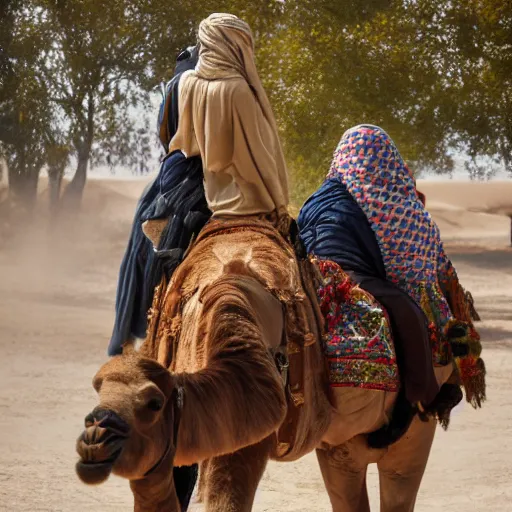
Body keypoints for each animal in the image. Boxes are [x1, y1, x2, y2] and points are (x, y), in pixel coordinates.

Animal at [77, 217, 460, 512]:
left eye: (152, 404)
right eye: (98, 391)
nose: (97, 434)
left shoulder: (247, 432)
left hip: (413, 431)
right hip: (346, 442)